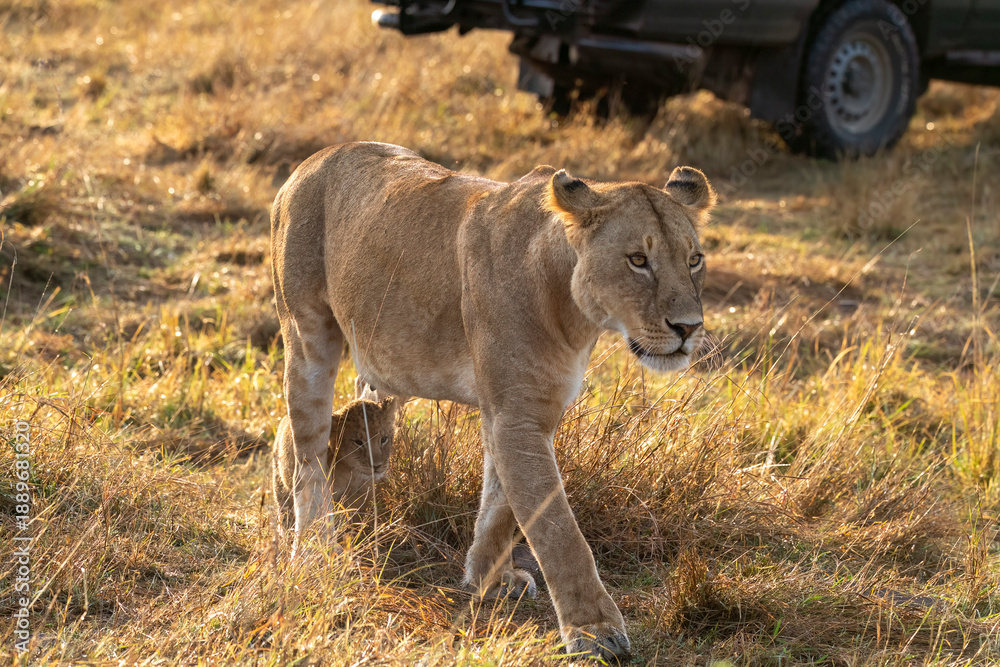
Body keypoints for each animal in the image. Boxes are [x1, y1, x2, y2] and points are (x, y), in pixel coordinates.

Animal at [271, 396, 397, 532]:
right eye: (358, 442)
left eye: (384, 439)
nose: (377, 466)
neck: (351, 473)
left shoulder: (361, 495)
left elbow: (354, 519)